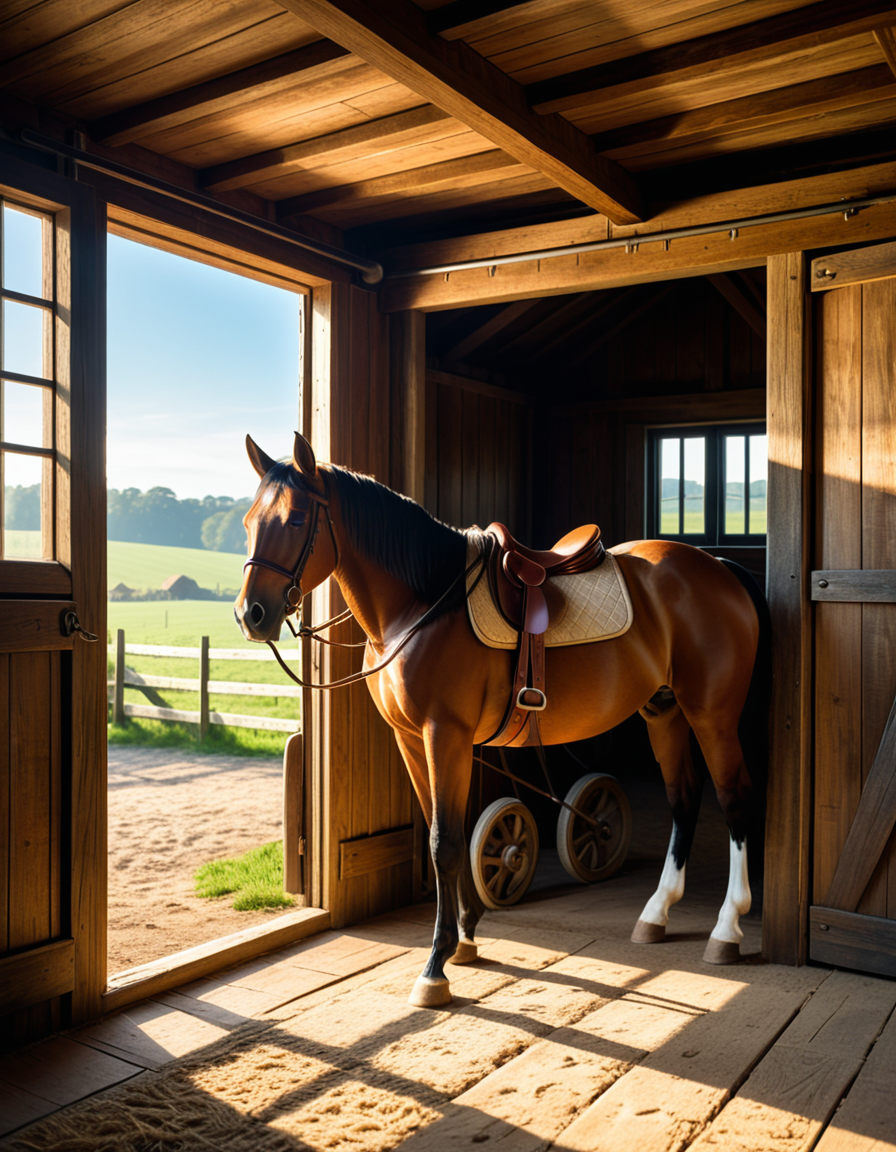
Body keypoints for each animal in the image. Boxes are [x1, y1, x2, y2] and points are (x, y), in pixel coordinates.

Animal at [235, 432, 767, 1008]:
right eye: (248, 521)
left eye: (294, 520)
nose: (250, 614)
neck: (424, 599)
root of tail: (717, 567)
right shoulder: (412, 739)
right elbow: (448, 828)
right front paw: (467, 937)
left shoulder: (444, 734)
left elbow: (444, 841)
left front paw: (437, 964)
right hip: (664, 711)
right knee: (683, 799)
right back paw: (657, 913)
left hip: (712, 714)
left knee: (733, 799)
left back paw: (727, 929)